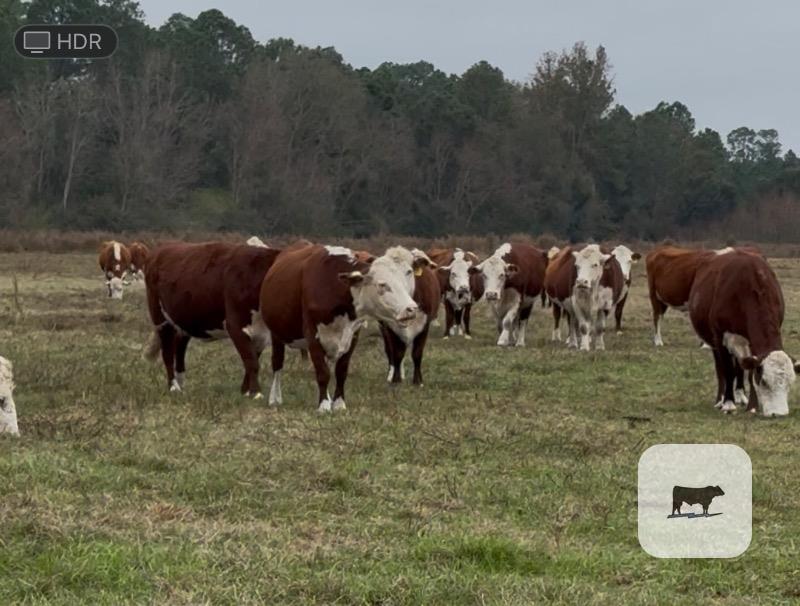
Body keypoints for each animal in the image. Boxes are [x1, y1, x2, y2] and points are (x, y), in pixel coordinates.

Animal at [144, 242, 281, 396]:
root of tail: (161, 249)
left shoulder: (262, 334)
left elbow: (253, 360)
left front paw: (245, 391)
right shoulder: (235, 326)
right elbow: (251, 361)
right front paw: (256, 393)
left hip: (184, 320)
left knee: (179, 347)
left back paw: (181, 384)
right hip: (161, 318)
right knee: (167, 352)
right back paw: (173, 387)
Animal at [260, 244, 428, 413]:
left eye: (407, 275)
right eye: (382, 284)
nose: (411, 308)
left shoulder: (352, 334)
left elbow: (341, 371)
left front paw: (338, 403)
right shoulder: (312, 334)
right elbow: (322, 372)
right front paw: (323, 405)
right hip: (276, 335)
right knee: (277, 364)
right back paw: (275, 398)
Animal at [380, 249, 441, 385]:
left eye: (409, 271)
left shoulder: (424, 325)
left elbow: (417, 354)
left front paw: (418, 381)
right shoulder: (390, 327)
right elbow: (397, 353)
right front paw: (395, 380)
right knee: (390, 351)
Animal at [689, 250, 799, 416]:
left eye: (790, 383)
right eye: (764, 381)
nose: (779, 413)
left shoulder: (753, 344)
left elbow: (749, 371)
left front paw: (752, 406)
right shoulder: (720, 337)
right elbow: (727, 371)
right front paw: (728, 403)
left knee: (740, 367)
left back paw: (740, 395)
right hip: (714, 341)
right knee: (721, 368)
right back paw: (721, 399)